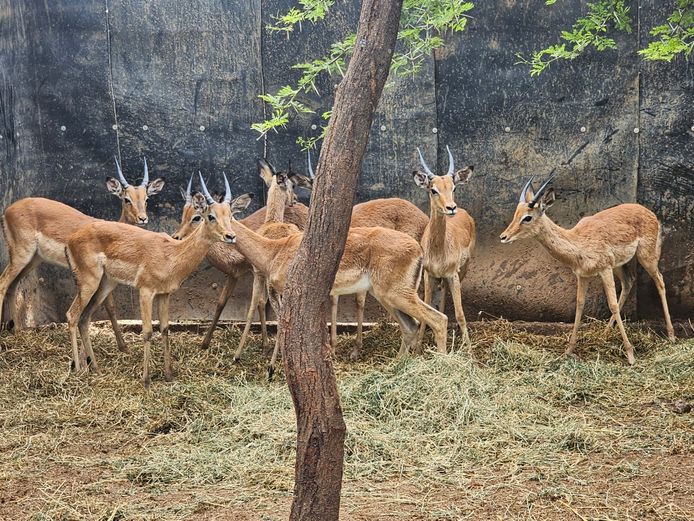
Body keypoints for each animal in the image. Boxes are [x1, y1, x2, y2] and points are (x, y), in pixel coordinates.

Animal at [0, 157, 164, 349]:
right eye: (126, 199)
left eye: (146, 199)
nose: (142, 218)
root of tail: (8, 210)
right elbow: (105, 307)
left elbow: (110, 306)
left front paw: (123, 346)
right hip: (21, 255)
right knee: (3, 283)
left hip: (33, 259)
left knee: (13, 286)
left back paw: (16, 331)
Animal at [65, 173, 251, 386]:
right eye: (210, 216)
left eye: (230, 216)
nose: (231, 236)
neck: (172, 254)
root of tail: (71, 239)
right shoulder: (146, 292)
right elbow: (147, 331)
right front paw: (146, 380)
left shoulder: (164, 294)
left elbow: (164, 329)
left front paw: (169, 374)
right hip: (89, 283)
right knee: (72, 315)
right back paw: (78, 369)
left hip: (106, 284)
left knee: (84, 318)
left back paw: (95, 368)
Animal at [208, 175, 448, 380]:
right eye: (210, 214)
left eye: (225, 214)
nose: (229, 235)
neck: (274, 250)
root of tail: (418, 249)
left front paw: (273, 369)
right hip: (386, 297)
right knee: (411, 326)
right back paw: (395, 369)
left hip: (398, 295)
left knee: (439, 319)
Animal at [412, 146, 475, 347]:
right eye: (433, 190)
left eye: (453, 187)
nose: (451, 207)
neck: (439, 249)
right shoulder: (428, 275)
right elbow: (426, 312)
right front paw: (417, 347)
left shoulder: (452, 275)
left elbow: (460, 314)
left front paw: (468, 349)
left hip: (462, 270)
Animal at [499, 173, 675, 364]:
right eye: (516, 213)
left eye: (528, 217)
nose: (503, 237)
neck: (578, 242)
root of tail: (650, 213)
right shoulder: (583, 276)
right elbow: (579, 305)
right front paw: (568, 351)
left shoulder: (604, 270)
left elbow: (612, 304)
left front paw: (630, 355)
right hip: (619, 265)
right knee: (628, 283)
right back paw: (605, 332)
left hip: (646, 257)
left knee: (660, 282)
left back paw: (671, 336)